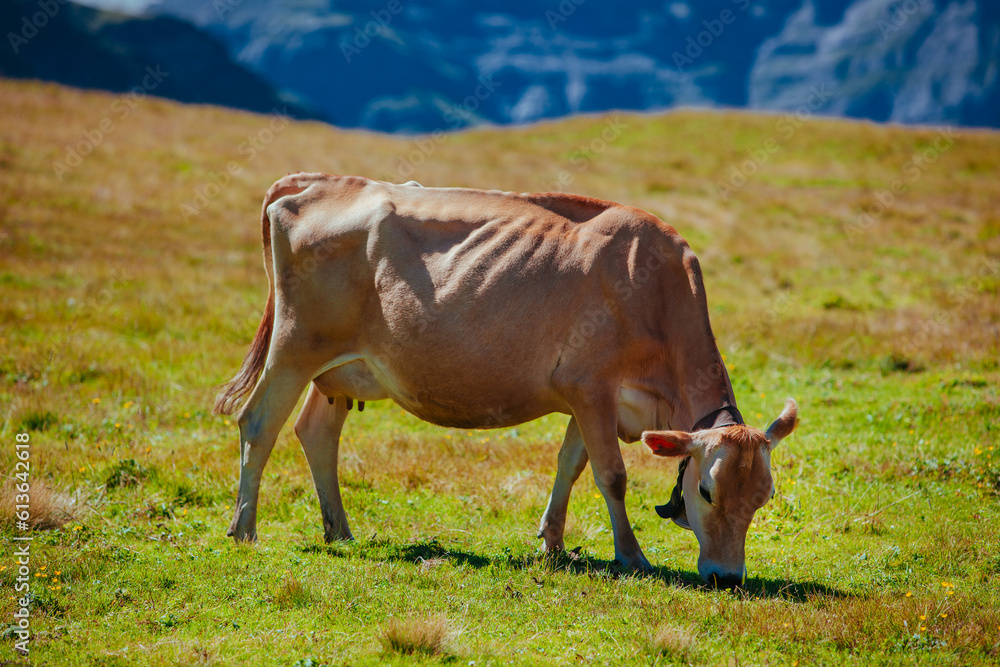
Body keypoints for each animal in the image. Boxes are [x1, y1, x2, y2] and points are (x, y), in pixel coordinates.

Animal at [217, 174, 796, 588]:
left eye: (763, 497)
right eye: (705, 491)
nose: (727, 578)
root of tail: (316, 181)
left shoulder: (587, 397)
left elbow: (571, 464)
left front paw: (552, 542)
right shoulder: (590, 387)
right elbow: (611, 475)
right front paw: (632, 556)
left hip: (337, 368)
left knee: (316, 433)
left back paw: (339, 531)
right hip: (295, 346)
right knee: (259, 422)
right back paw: (244, 530)